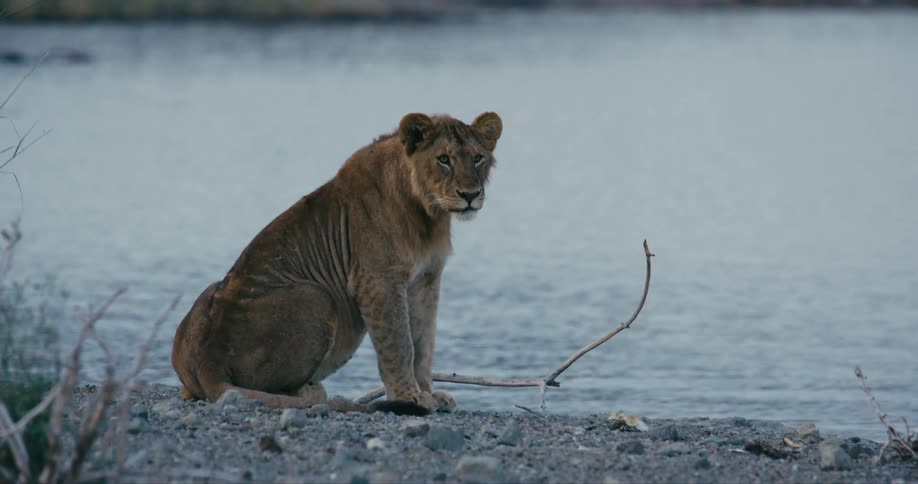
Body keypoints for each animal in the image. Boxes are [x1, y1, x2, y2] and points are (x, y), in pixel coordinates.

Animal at [171, 112, 502, 415]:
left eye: (477, 158)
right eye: (443, 159)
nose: (470, 194)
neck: (428, 213)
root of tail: (209, 362)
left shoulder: (427, 278)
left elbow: (423, 342)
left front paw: (430, 393)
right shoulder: (377, 279)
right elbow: (399, 342)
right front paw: (409, 397)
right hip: (317, 296)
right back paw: (315, 392)